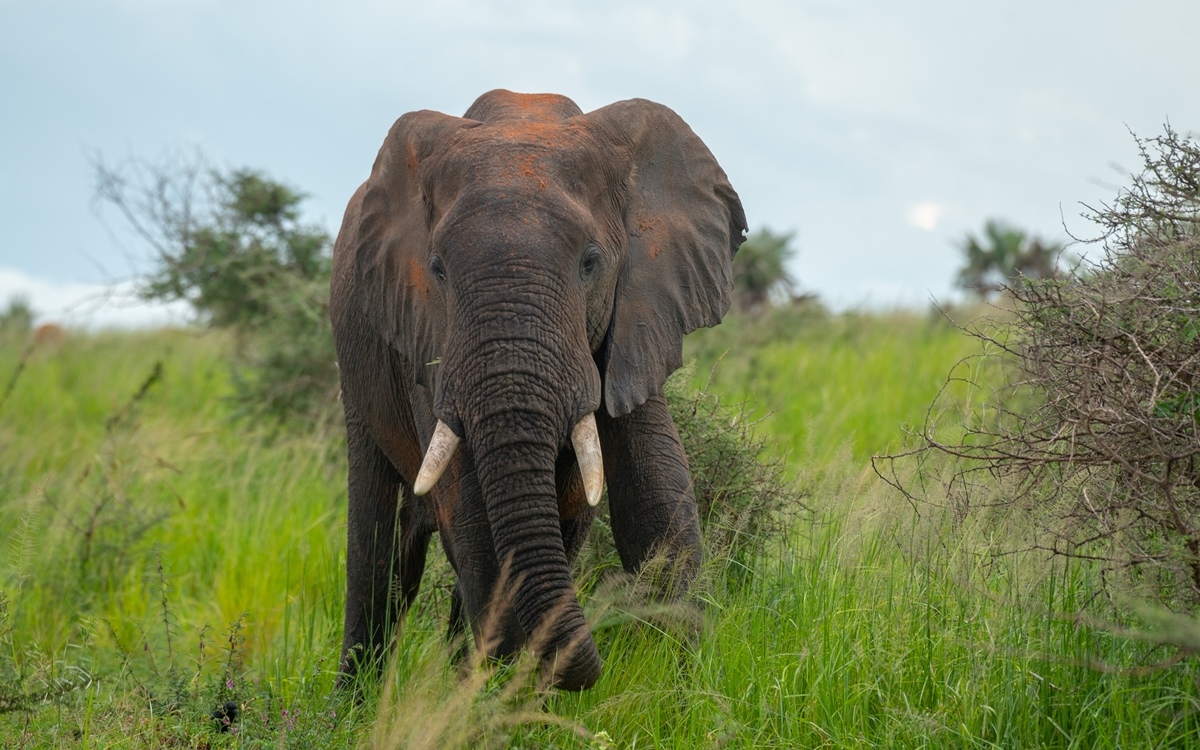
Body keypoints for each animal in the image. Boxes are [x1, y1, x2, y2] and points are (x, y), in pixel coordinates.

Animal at [328, 89, 739, 691]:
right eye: (438, 269)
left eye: (590, 262)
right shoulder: (428, 339)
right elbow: (471, 516)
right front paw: (505, 698)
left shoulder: (635, 316)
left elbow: (655, 503)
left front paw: (681, 690)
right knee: (380, 552)